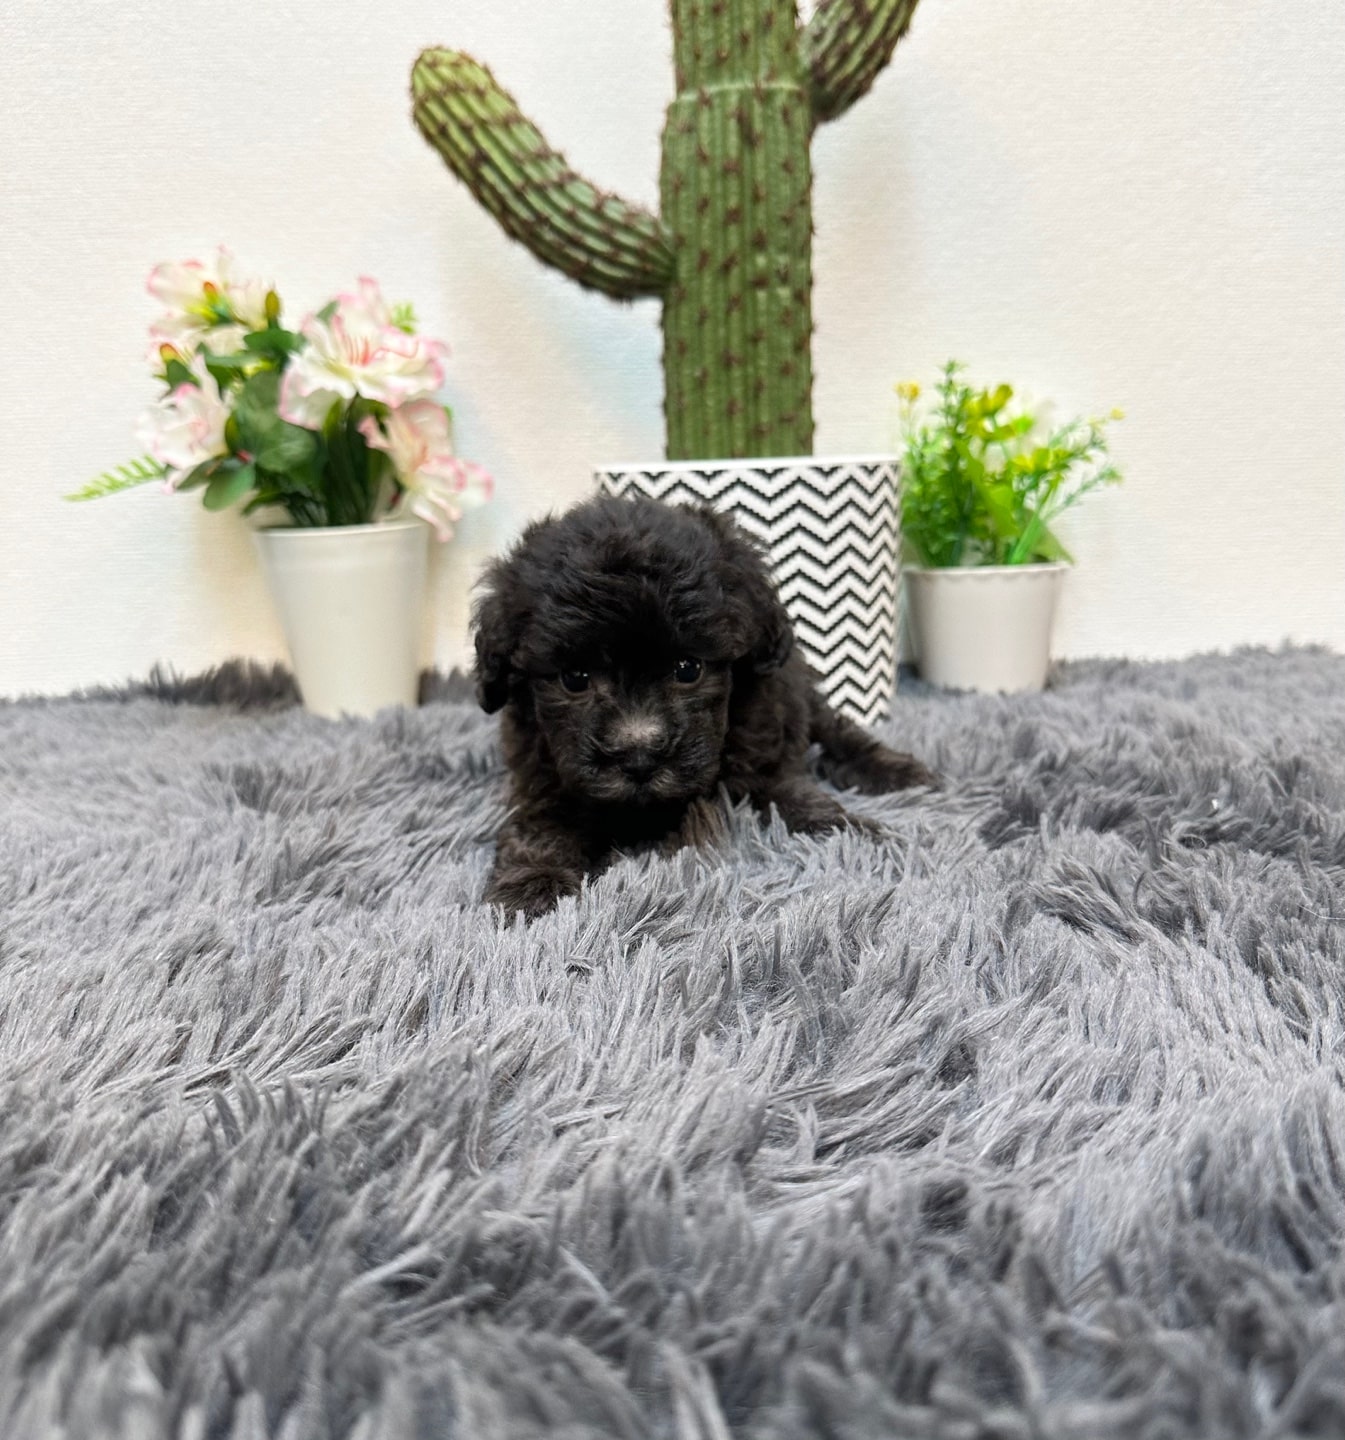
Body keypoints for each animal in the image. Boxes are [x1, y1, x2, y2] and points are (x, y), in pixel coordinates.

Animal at [472, 494, 935, 918]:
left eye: (688, 668)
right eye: (574, 678)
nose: (639, 756)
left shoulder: (760, 753)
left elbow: (794, 795)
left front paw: (854, 832)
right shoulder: (542, 771)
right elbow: (542, 825)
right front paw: (530, 886)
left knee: (835, 730)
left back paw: (899, 772)